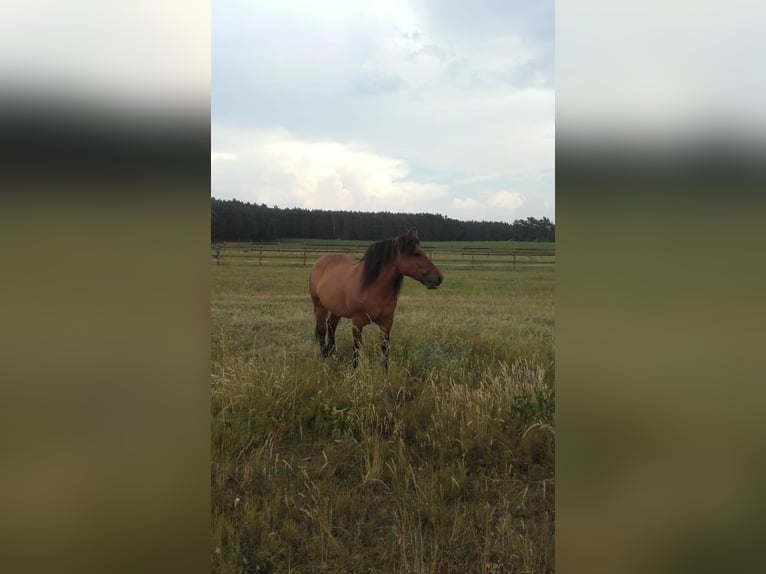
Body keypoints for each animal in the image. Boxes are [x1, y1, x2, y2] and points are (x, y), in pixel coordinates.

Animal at [310, 227, 444, 372]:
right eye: (416, 253)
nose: (439, 278)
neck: (372, 286)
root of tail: (319, 262)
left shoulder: (387, 322)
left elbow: (385, 348)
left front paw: (385, 372)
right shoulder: (357, 322)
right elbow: (356, 348)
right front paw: (353, 371)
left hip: (337, 309)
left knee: (331, 325)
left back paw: (332, 353)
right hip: (319, 306)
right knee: (322, 330)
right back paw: (324, 356)